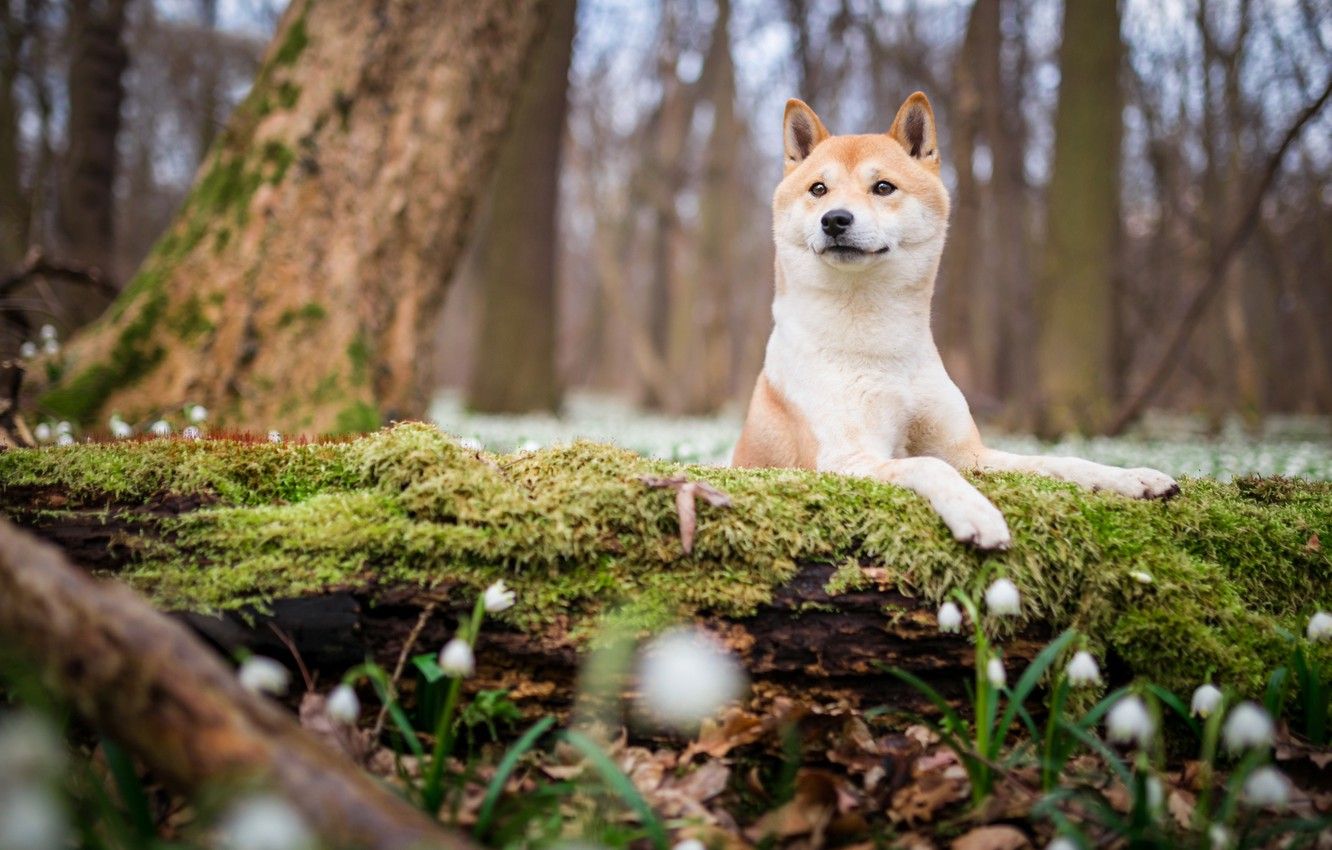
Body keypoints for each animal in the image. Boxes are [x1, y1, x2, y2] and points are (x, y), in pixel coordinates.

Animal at [735, 93, 1182, 554]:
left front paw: (1130, 477)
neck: (878, 343)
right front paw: (976, 512)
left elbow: (1054, 461)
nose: (835, 219)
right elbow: (930, 466)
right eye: (818, 189)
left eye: (883, 187)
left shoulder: (970, 453)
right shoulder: (844, 458)